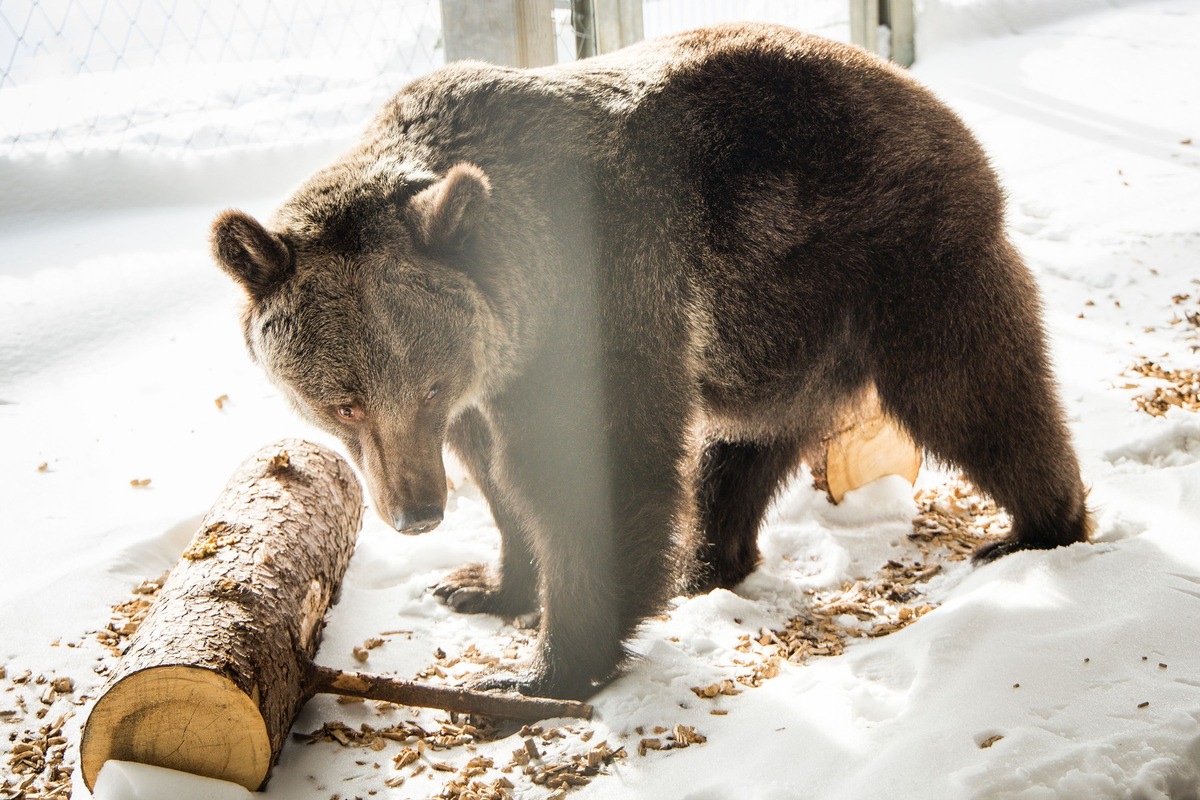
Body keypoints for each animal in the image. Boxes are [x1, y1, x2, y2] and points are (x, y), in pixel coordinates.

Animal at [211, 23, 1094, 700]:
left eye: (422, 386)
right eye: (343, 403)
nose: (415, 513)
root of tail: (939, 108)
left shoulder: (599, 306)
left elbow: (594, 470)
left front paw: (544, 668)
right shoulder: (488, 373)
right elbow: (499, 478)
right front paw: (483, 584)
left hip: (895, 256)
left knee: (973, 393)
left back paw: (1036, 528)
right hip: (776, 328)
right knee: (740, 447)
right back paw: (705, 560)